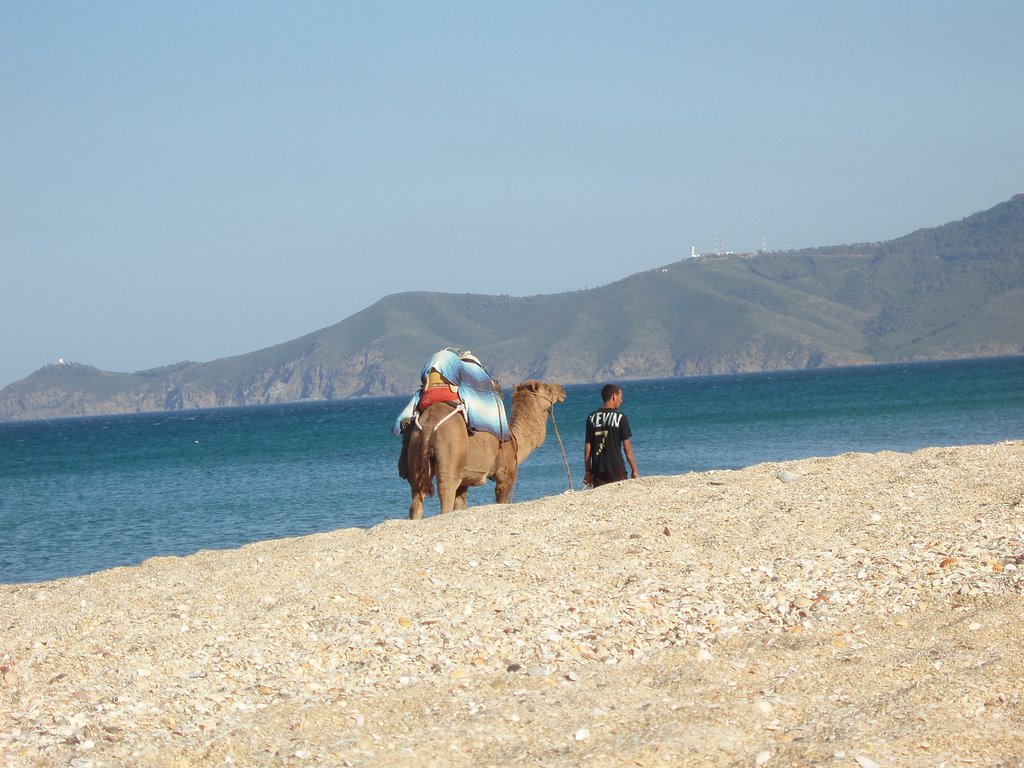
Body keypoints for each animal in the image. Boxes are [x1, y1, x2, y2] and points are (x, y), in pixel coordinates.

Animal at [401, 380, 569, 520]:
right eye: (548, 389)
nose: (562, 389)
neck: (515, 439)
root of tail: (429, 425)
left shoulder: (465, 479)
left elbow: (460, 505)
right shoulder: (505, 474)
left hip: (416, 448)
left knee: (416, 498)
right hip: (449, 449)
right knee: (445, 492)